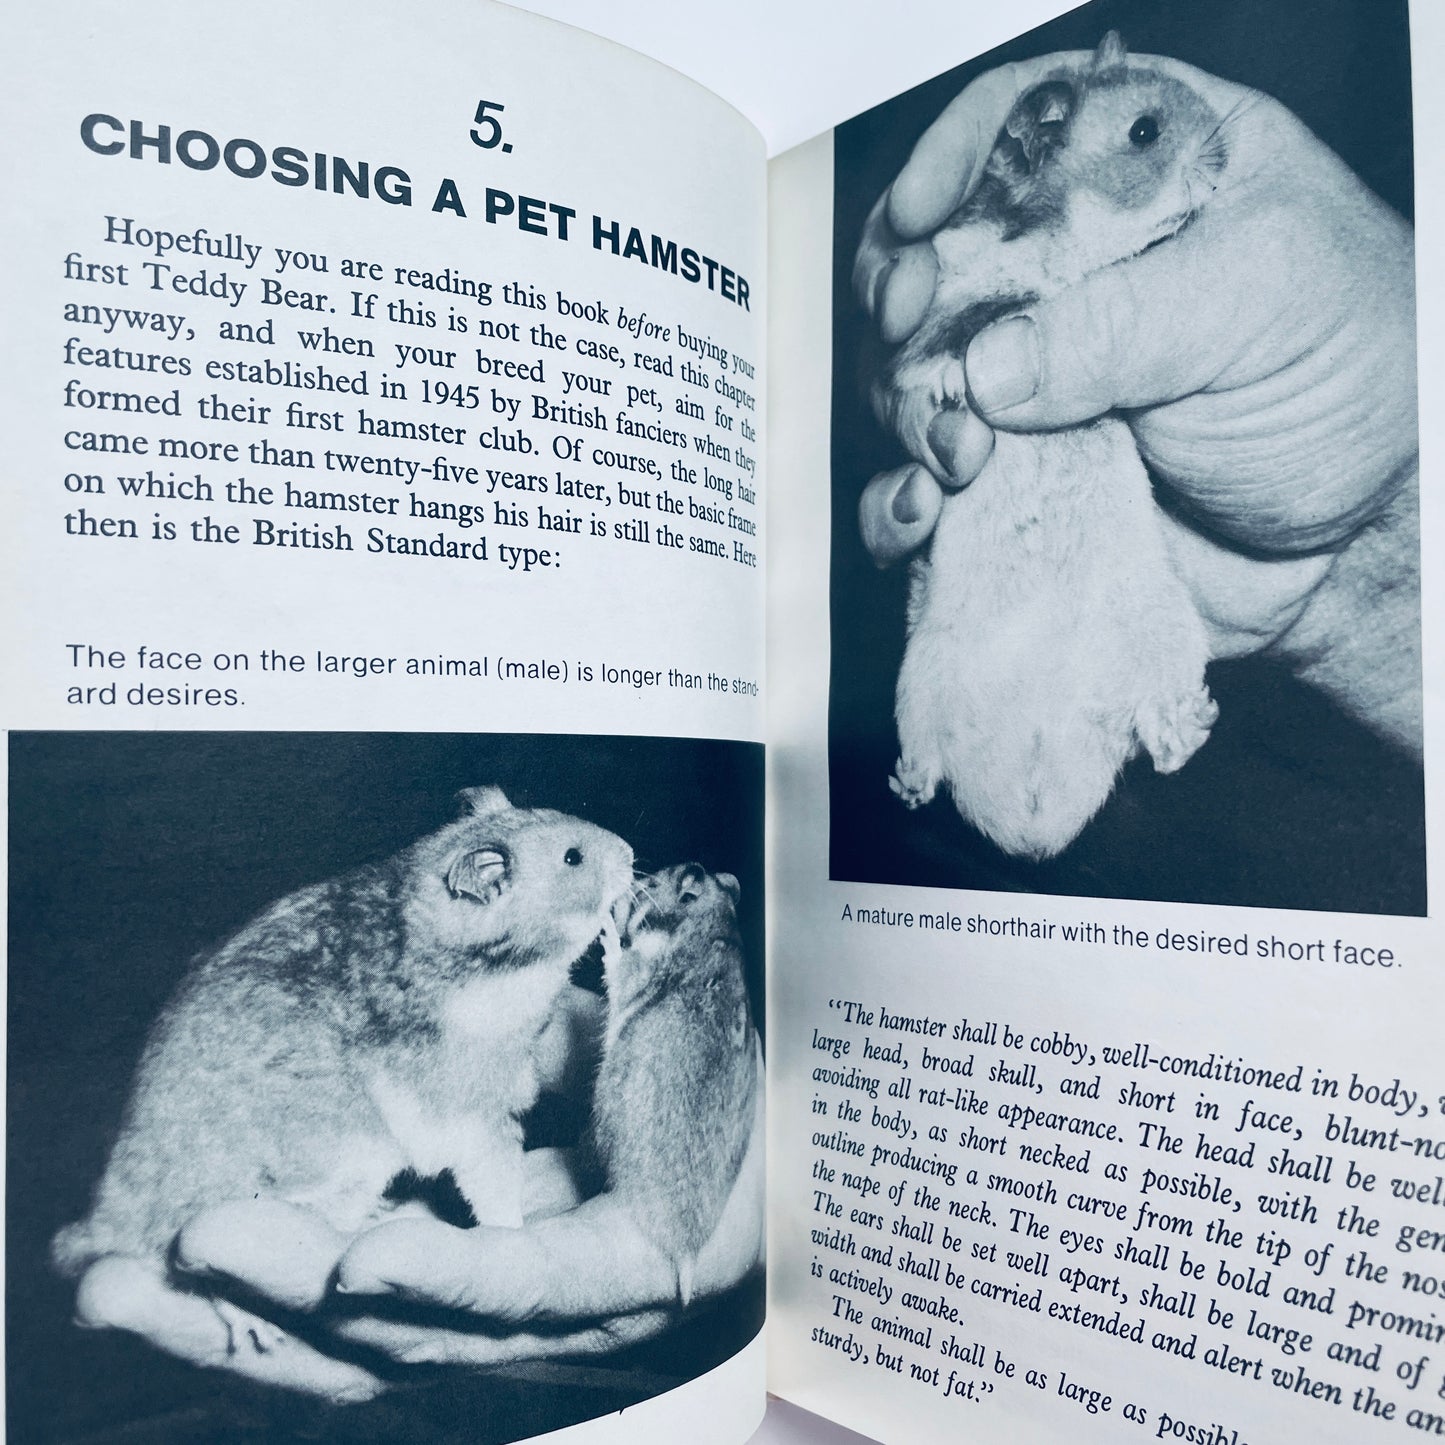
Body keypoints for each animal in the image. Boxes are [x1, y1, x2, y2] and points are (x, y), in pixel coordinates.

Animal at [52, 786, 635, 1288]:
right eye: (573, 858)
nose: (631, 852)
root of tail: (107, 1217)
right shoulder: (474, 1114)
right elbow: (491, 1183)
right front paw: (513, 1232)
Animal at [590, 863, 758, 1306]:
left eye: (649, 884)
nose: (620, 886)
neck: (713, 917)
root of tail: (687, 1251)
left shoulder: (641, 966)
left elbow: (621, 965)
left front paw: (607, 931)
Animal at [878, 34, 1225, 857]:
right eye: (1143, 131)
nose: (1224, 164)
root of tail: (1035, 813)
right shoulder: (938, 295)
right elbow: (958, 328)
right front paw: (953, 382)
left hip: (1164, 627)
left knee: (1158, 740)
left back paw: (1191, 718)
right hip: (921, 668)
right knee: (929, 757)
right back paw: (908, 781)